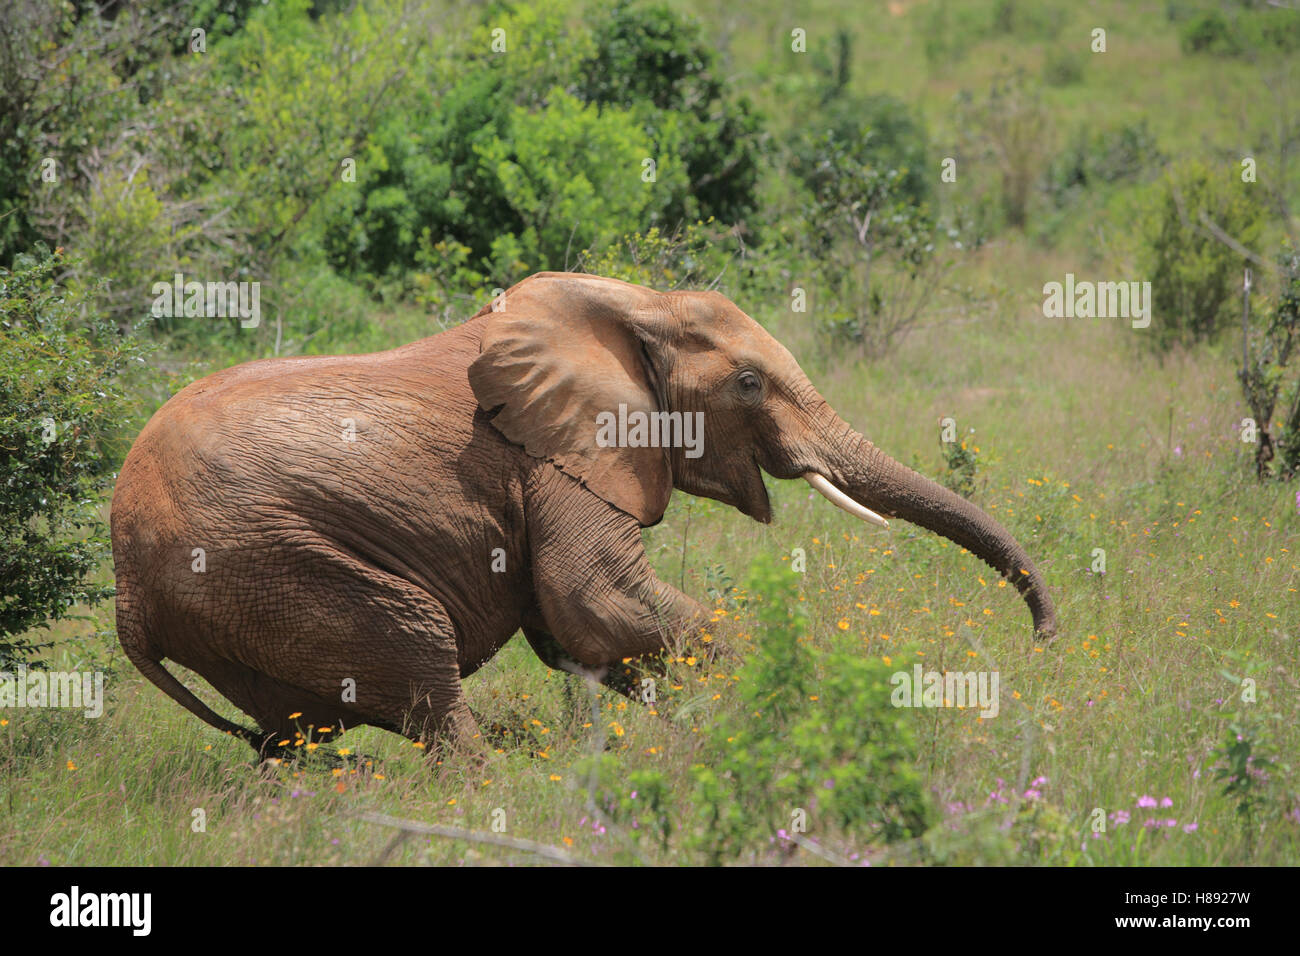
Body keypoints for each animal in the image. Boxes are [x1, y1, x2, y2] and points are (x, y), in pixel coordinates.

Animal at [111, 273, 1060, 759]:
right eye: (750, 384)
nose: (1043, 642)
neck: (635, 306)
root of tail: (124, 586)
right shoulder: (557, 459)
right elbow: (594, 603)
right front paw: (802, 705)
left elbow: (575, 632)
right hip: (271, 563)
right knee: (417, 652)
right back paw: (495, 785)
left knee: (291, 735)